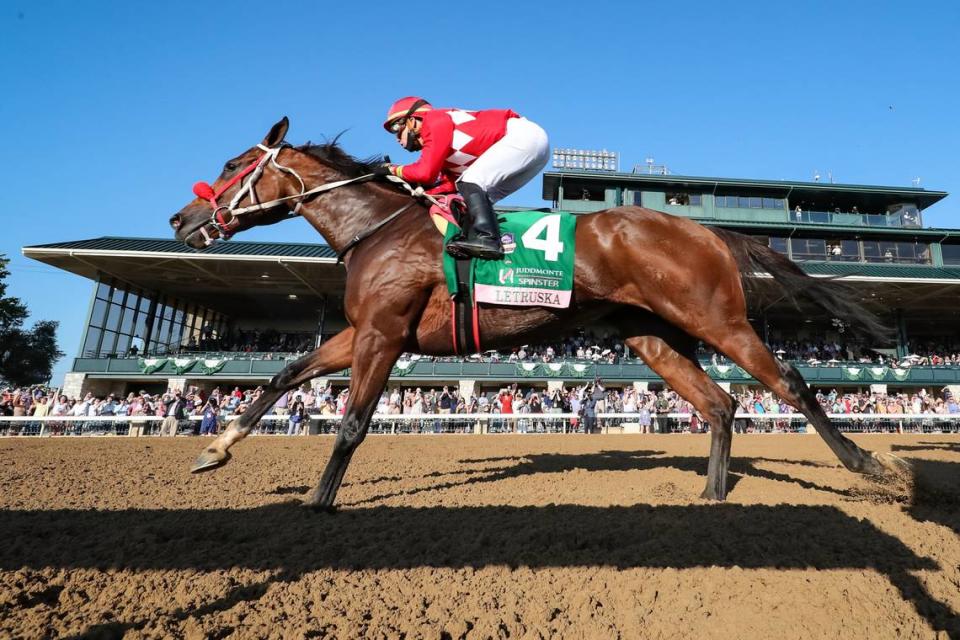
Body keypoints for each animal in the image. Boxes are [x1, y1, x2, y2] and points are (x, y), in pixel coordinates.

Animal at [167, 119, 908, 510]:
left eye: (233, 164)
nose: (181, 218)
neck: (377, 228)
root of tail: (709, 230)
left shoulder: (383, 334)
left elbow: (351, 423)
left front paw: (317, 505)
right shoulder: (360, 330)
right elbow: (284, 373)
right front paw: (213, 450)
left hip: (716, 319)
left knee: (792, 382)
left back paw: (870, 467)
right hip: (654, 335)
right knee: (721, 404)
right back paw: (711, 498)